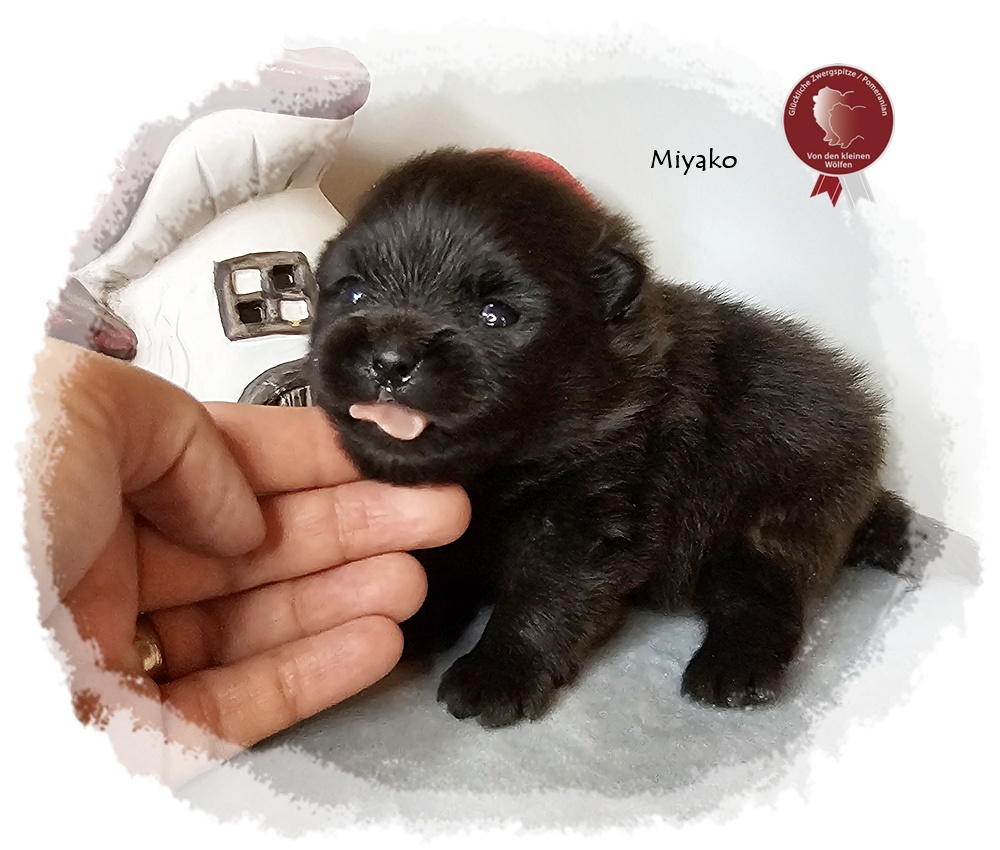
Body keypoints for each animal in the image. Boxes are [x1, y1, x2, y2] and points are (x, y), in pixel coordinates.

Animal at [308, 148, 911, 728]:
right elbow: (439, 566)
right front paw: (417, 621)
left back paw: (733, 670)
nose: (389, 361)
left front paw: (497, 674)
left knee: (763, 598)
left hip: (771, 518)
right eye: (354, 292)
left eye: (495, 314)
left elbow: (544, 596)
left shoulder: (587, 516)